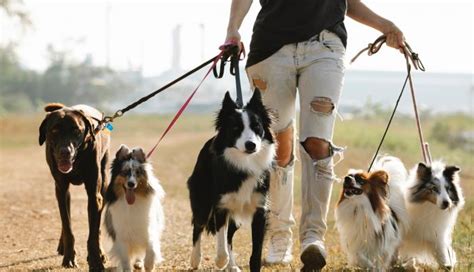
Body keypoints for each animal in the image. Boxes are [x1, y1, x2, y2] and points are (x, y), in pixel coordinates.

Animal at [39, 102, 110, 270]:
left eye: (76, 131)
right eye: (54, 130)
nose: (65, 152)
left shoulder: (94, 195)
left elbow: (93, 234)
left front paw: (96, 261)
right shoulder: (61, 189)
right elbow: (67, 227)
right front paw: (69, 257)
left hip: (104, 182)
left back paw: (101, 253)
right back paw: (62, 245)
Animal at [186, 90, 274, 272]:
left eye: (257, 127)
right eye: (235, 128)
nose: (251, 145)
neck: (244, 163)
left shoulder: (260, 210)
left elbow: (255, 253)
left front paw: (233, 264)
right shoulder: (221, 206)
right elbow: (221, 243)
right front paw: (220, 261)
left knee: (229, 236)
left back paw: (232, 265)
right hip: (202, 200)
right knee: (198, 227)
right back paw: (195, 259)